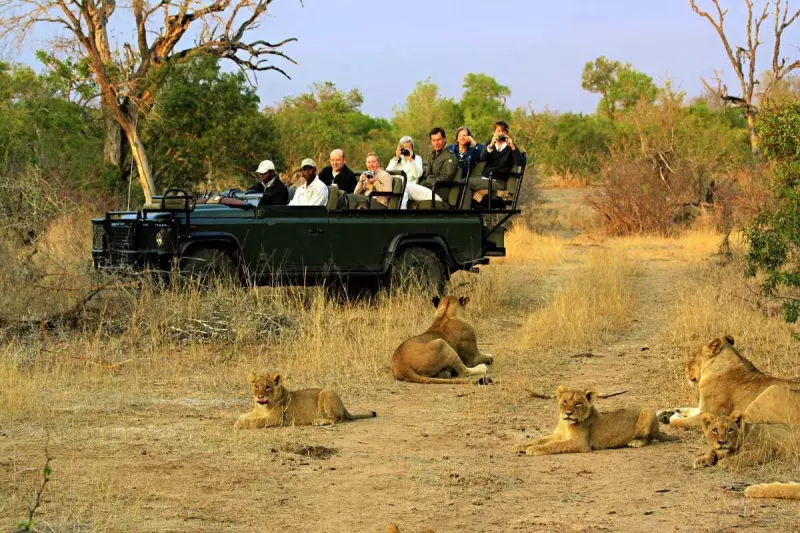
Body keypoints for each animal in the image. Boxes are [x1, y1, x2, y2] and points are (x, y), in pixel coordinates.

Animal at [234, 372, 378, 430]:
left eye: (267, 387)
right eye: (256, 386)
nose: (260, 396)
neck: (263, 406)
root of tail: (343, 406)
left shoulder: (276, 419)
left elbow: (258, 421)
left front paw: (239, 424)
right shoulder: (257, 412)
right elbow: (244, 415)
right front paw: (240, 419)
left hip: (327, 392)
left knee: (336, 418)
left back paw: (319, 421)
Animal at [512, 384, 680, 456]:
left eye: (578, 403)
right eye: (565, 402)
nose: (568, 413)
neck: (566, 424)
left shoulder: (580, 443)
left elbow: (554, 445)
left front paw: (534, 449)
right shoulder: (557, 435)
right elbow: (539, 439)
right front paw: (520, 445)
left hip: (648, 412)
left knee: (649, 438)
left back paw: (635, 442)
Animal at [656, 336, 800, 428]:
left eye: (692, 357)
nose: (684, 370)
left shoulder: (711, 414)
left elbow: (680, 421)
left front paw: (671, 417)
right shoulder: (703, 408)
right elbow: (687, 408)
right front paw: (665, 412)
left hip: (771, 390)